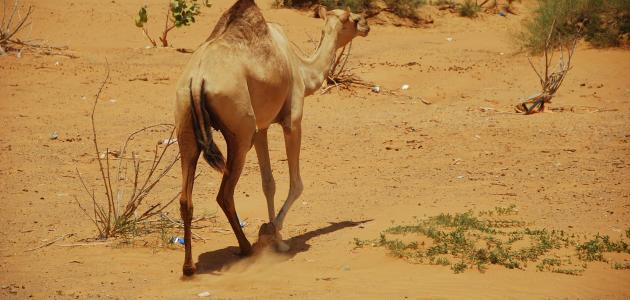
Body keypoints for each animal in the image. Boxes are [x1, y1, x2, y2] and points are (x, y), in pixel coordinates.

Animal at [173, 0, 370, 276]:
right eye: (354, 19)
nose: (367, 25)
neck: (302, 68)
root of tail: (197, 79)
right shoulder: (292, 120)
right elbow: (296, 183)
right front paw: (273, 234)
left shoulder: (261, 128)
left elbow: (268, 182)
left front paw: (273, 233)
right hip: (240, 131)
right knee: (224, 193)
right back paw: (246, 248)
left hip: (186, 125)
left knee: (185, 198)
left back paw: (189, 266)